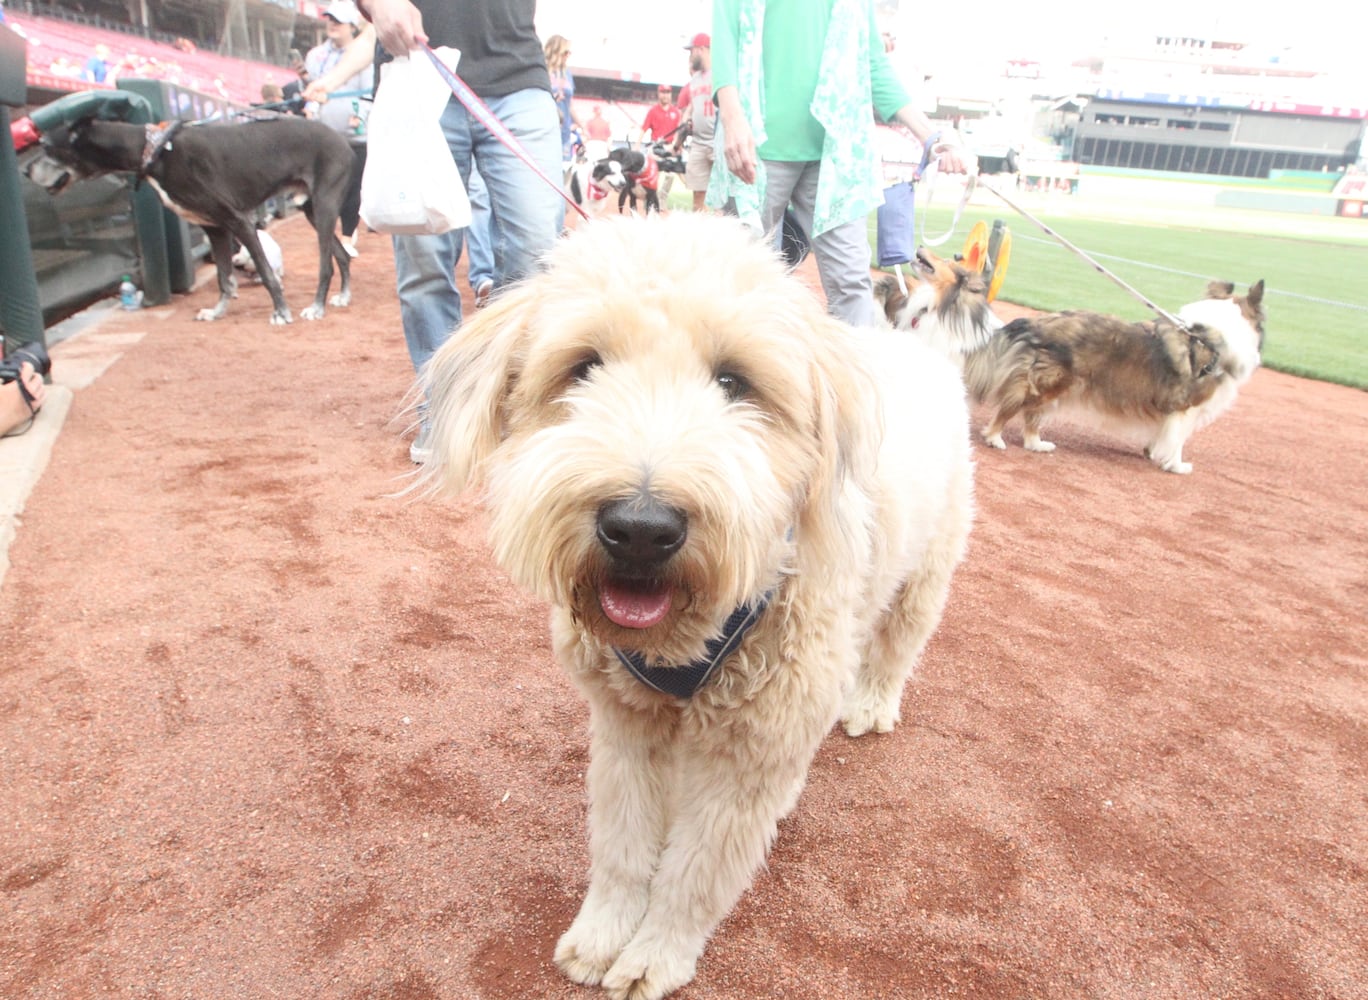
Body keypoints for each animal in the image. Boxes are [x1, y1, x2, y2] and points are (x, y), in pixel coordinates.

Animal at [421, 214, 979, 995]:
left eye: (734, 382)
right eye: (583, 367)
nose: (640, 528)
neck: (687, 638)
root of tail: (912, 348)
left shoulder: (749, 752)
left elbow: (695, 873)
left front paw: (655, 955)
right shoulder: (626, 724)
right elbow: (622, 845)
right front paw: (603, 934)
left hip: (926, 572)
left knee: (897, 645)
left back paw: (872, 704)